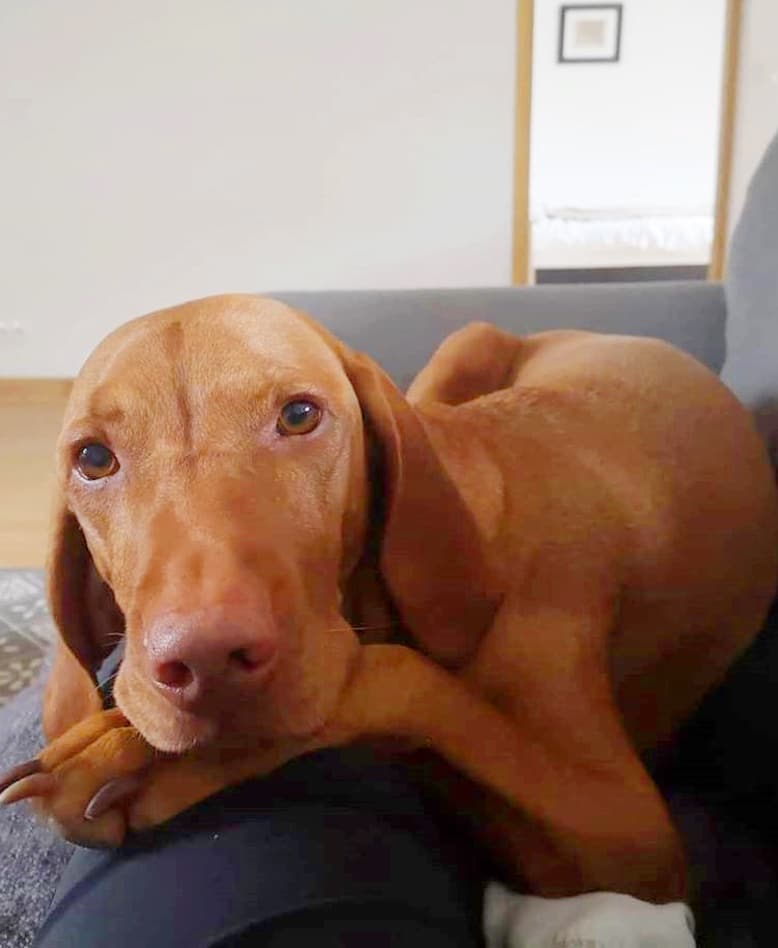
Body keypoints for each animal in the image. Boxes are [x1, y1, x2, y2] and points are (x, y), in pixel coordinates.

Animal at [4, 296, 776, 904]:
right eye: (93, 458)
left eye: (299, 415)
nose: (206, 662)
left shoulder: (634, 841)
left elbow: (404, 679)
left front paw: (129, 759)